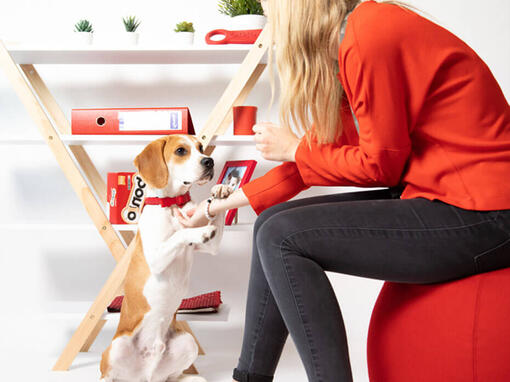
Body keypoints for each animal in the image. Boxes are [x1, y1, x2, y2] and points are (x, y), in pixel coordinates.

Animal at [101, 134, 231, 382]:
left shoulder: (212, 246)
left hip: (187, 343)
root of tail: (146, 376)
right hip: (116, 347)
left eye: (201, 148)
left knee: (173, 377)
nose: (209, 161)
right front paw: (198, 232)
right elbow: (179, 234)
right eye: (181, 151)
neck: (172, 204)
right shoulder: (156, 258)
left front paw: (221, 190)